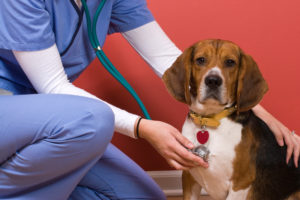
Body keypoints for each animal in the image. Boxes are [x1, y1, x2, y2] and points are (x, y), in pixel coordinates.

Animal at [163, 39, 298, 200]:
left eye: (230, 62)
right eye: (200, 60)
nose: (213, 81)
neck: (209, 120)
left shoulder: (240, 184)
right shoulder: (189, 177)